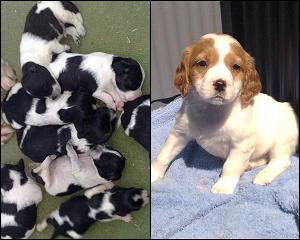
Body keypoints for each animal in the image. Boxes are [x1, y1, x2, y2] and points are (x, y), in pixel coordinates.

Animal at [151, 33, 298, 195]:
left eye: (236, 67)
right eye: (202, 63)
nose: (220, 83)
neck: (212, 110)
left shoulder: (241, 144)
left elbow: (231, 165)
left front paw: (223, 186)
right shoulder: (178, 133)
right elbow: (163, 155)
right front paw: (153, 174)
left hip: (282, 140)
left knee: (281, 161)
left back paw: (263, 175)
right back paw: (249, 165)